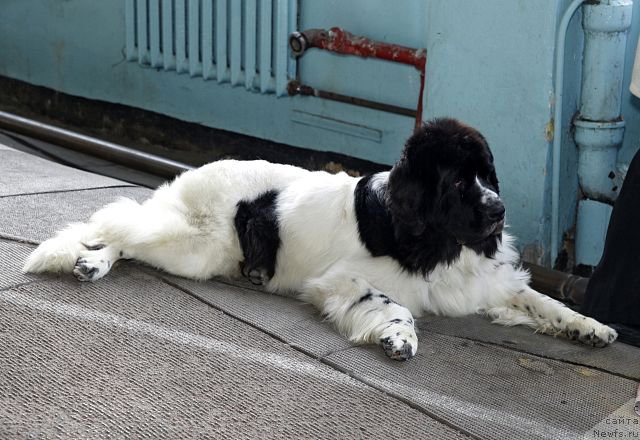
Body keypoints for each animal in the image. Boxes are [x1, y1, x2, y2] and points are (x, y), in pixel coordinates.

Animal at [22, 117, 616, 360]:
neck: (435, 239)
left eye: (487, 175)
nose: (497, 210)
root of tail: (194, 172)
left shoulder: (487, 281)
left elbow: (541, 301)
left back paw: (91, 263)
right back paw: (91, 259)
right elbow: (393, 305)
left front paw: (589, 327)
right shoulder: (344, 280)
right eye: (454, 182)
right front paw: (398, 338)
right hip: (191, 245)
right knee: (120, 224)